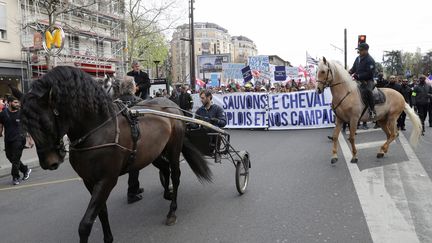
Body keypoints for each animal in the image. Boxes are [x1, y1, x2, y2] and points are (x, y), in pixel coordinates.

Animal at [20, 66, 213, 243]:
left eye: (45, 123)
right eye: (26, 125)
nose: (49, 162)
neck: (99, 128)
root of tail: (172, 105)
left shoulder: (107, 180)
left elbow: (85, 224)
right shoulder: (90, 181)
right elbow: (101, 212)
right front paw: (108, 238)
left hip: (173, 149)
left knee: (176, 175)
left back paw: (172, 210)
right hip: (154, 154)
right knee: (165, 169)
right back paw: (167, 193)